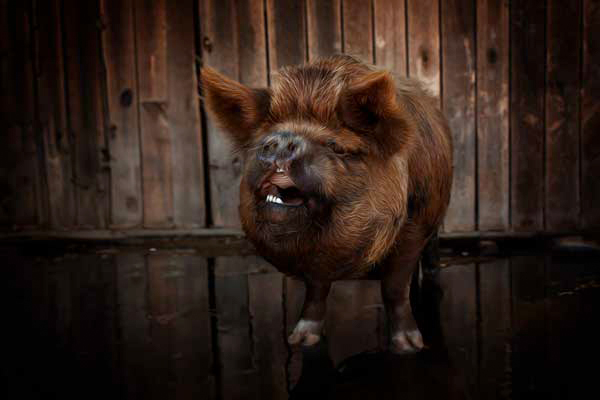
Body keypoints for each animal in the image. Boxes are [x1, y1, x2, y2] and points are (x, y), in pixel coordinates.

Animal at [200, 55, 450, 354]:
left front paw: (409, 347)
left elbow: (394, 288)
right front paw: (300, 341)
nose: (282, 140)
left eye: (336, 146)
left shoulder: (415, 227)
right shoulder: (315, 258)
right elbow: (316, 290)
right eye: (264, 138)